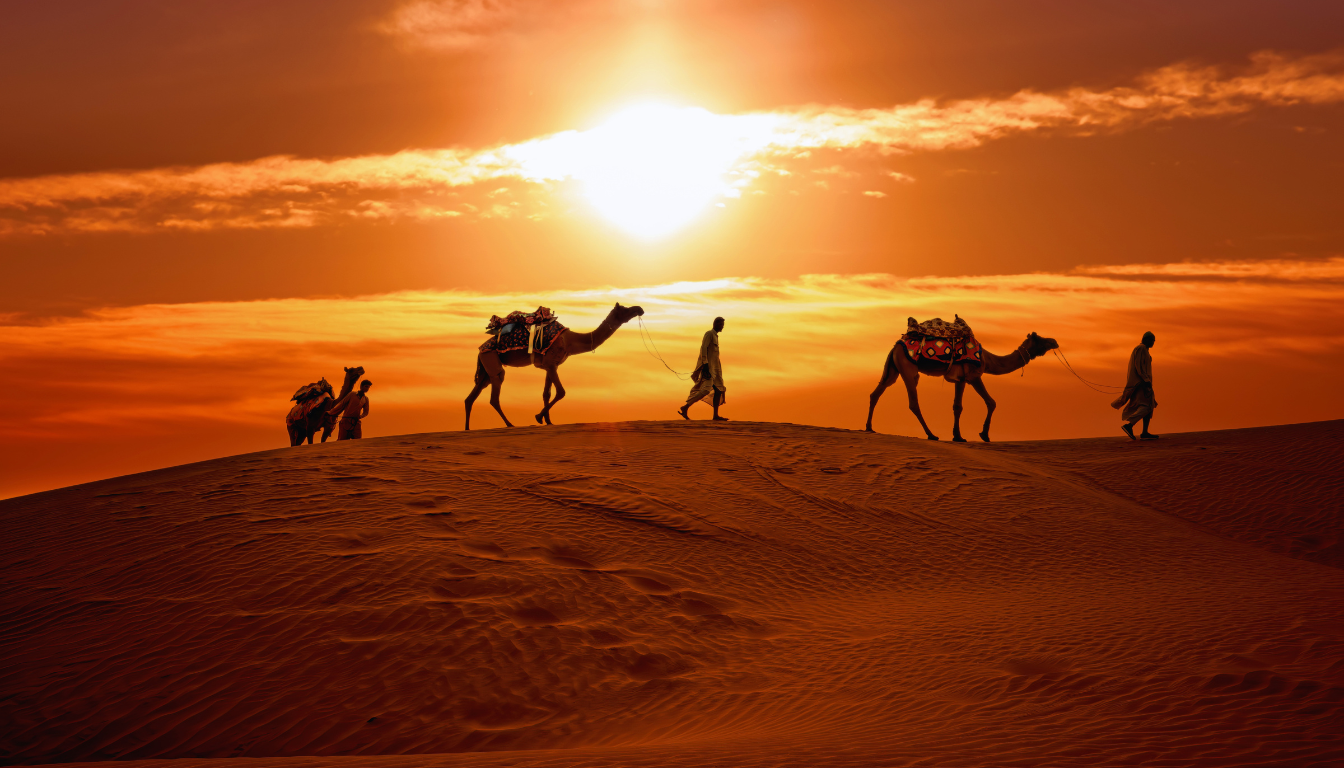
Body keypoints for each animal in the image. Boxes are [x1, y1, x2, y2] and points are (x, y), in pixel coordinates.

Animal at [465, 302, 645, 430]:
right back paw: (510, 424)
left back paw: (467, 429)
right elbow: (561, 392)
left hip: (485, 367)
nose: (640, 309)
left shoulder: (550, 365)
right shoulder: (551, 363)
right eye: (624, 309)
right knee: (495, 393)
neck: (570, 341)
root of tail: (480, 349)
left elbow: (547, 393)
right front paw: (538, 417)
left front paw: (548, 421)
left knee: (472, 396)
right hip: (491, 358)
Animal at [865, 332, 1058, 442]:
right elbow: (990, 402)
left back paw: (869, 427)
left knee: (876, 393)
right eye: (1040, 339)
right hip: (908, 369)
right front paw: (983, 435)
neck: (988, 359)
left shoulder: (960, 379)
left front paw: (957, 436)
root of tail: (895, 347)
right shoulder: (972, 376)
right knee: (913, 403)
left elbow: (956, 406)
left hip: (893, 370)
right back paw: (931, 434)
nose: (1054, 341)